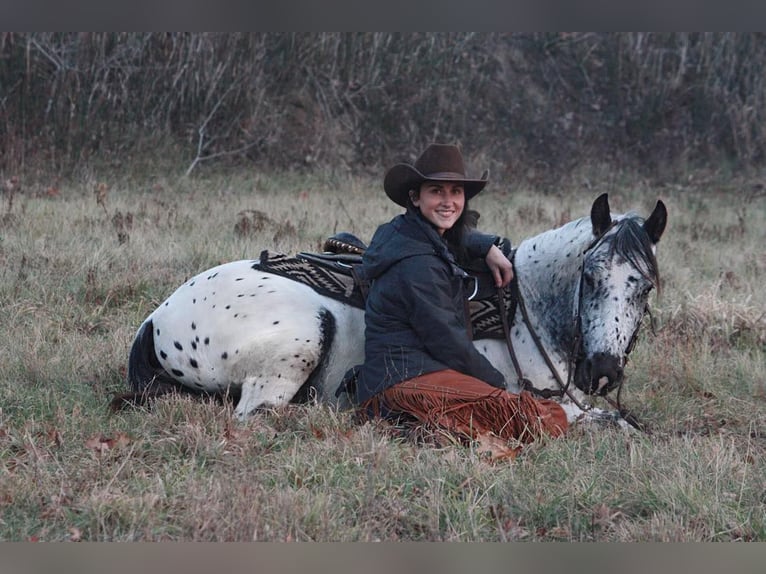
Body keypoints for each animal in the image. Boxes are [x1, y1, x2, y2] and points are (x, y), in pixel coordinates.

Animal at [114, 196, 664, 430]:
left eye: (643, 286)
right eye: (589, 276)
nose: (602, 371)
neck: (525, 314)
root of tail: (154, 321)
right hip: (301, 341)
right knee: (259, 413)